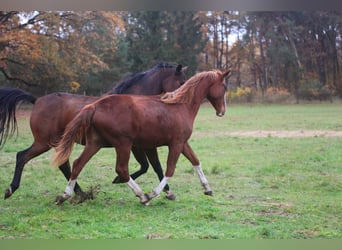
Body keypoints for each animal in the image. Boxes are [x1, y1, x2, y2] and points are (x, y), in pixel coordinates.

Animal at [0, 62, 187, 199]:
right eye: (181, 82)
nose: (182, 100)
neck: (137, 103)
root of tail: (37, 100)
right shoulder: (138, 146)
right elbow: (151, 166)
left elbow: (151, 166)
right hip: (43, 142)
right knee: (22, 156)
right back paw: (11, 189)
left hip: (57, 143)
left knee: (65, 165)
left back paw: (80, 193)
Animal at [52, 70, 230, 205]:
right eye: (224, 87)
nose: (222, 111)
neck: (181, 106)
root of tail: (94, 106)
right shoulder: (176, 144)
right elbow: (169, 169)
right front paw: (154, 193)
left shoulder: (182, 143)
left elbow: (195, 161)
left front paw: (207, 189)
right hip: (123, 144)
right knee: (122, 169)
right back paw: (142, 196)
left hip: (96, 143)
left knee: (77, 164)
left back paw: (65, 196)